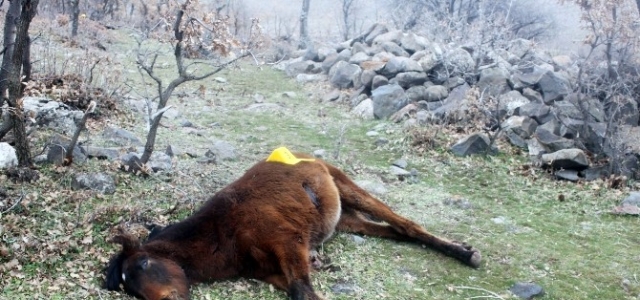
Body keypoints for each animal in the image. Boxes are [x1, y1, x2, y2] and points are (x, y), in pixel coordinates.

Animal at [106, 148, 480, 300]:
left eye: (143, 264)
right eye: (128, 287)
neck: (225, 234)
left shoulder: (289, 243)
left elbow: (303, 292)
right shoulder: (273, 270)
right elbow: (301, 289)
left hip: (345, 185)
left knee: (405, 225)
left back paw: (465, 254)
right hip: (344, 219)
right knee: (392, 231)